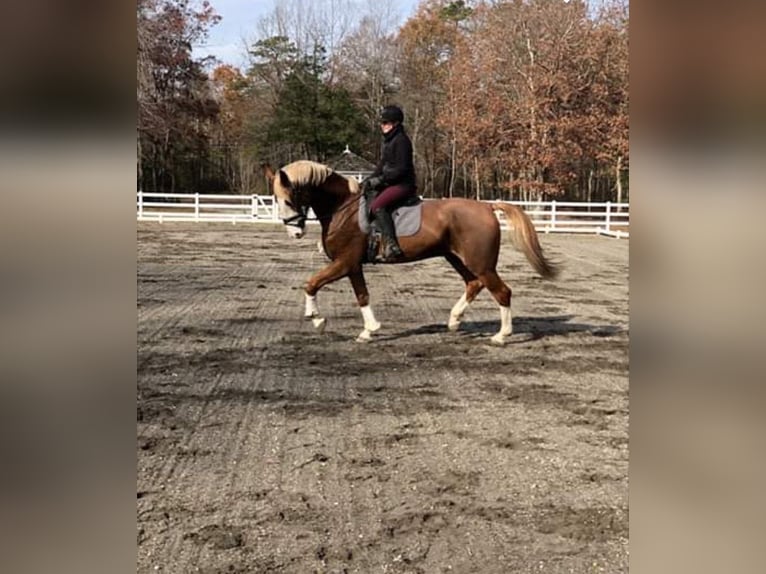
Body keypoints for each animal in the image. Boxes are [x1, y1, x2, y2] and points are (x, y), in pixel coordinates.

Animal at [264, 160, 560, 344]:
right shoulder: (353, 266)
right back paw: (454, 321)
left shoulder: (344, 262)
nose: (294, 233)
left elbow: (312, 283)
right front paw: (369, 331)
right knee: (474, 284)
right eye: (276, 200)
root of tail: (486, 206)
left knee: (502, 292)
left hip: (481, 263)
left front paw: (316, 320)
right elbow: (362, 296)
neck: (342, 208)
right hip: (457, 258)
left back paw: (501, 335)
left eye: (288, 199)